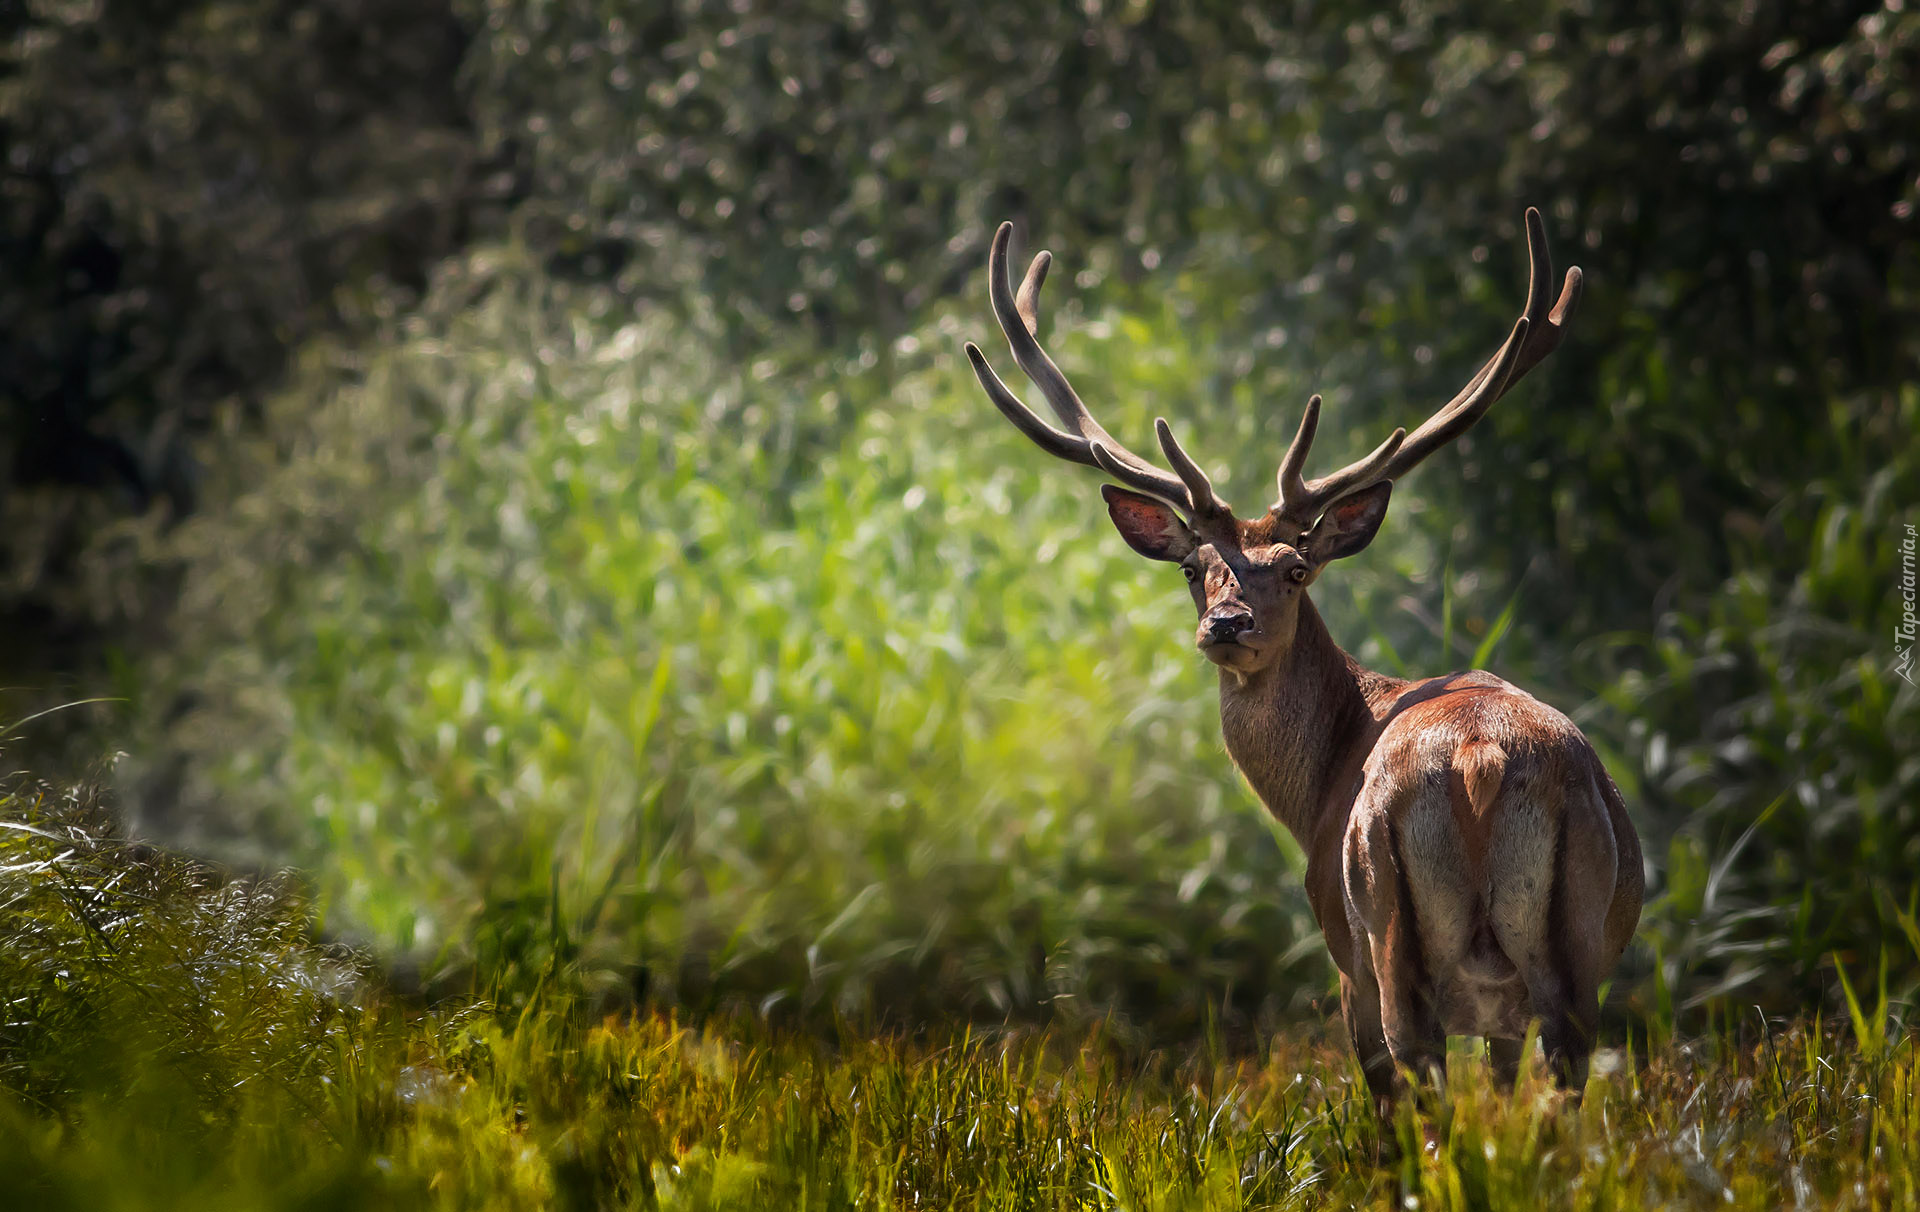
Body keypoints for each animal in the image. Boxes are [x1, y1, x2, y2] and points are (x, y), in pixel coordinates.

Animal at [967, 208, 1643, 1129]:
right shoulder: (1502, 1015)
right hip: (1567, 953)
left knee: (1411, 1081)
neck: (1314, 786)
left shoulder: (1337, 933)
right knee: (1557, 1087)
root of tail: (1479, 762)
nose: (1226, 623)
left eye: (1293, 568)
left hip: (1381, 935)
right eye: (1194, 568)